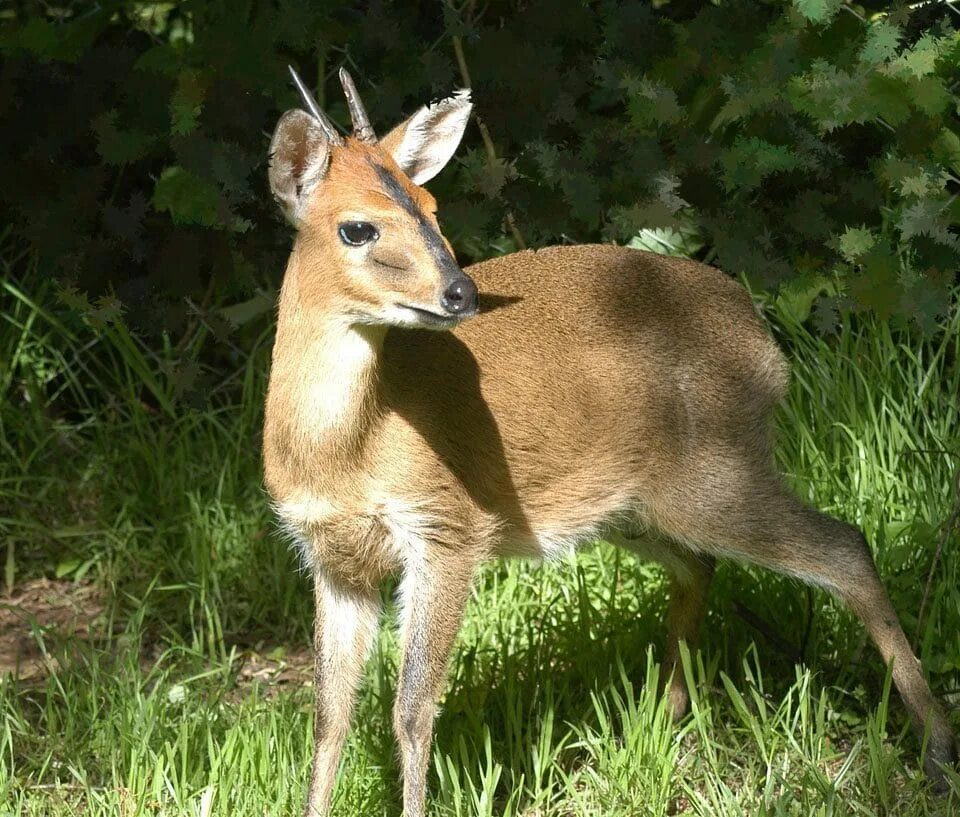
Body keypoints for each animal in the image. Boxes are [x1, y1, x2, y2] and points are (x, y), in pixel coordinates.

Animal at [262, 70, 952, 816]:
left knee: (845, 546)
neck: (346, 450)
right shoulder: (333, 558)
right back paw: (665, 719)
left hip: (714, 474)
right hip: (631, 508)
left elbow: (412, 709)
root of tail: (768, 347)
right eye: (357, 227)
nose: (460, 292)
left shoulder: (448, 527)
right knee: (703, 564)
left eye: (432, 206)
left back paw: (937, 749)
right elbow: (330, 715)